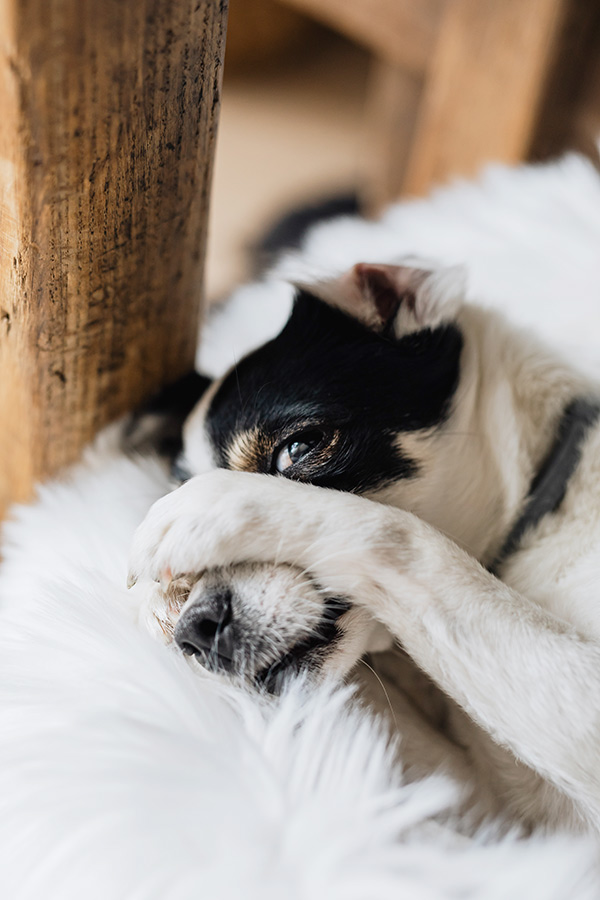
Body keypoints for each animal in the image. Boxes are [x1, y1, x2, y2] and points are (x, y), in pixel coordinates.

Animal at [129, 260, 600, 836]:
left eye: (300, 448)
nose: (194, 630)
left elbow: (401, 538)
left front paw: (218, 505)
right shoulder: (492, 813)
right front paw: (162, 605)